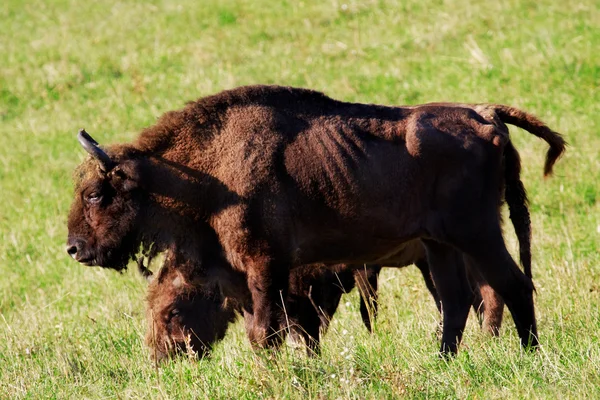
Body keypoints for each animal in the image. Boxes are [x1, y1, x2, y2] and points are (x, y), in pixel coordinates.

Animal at [68, 86, 564, 354]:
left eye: (95, 194)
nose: (74, 248)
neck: (208, 170)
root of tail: (486, 117)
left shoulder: (265, 267)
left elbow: (264, 332)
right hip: (439, 245)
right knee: (458, 301)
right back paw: (441, 361)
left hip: (476, 234)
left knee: (512, 286)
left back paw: (528, 356)